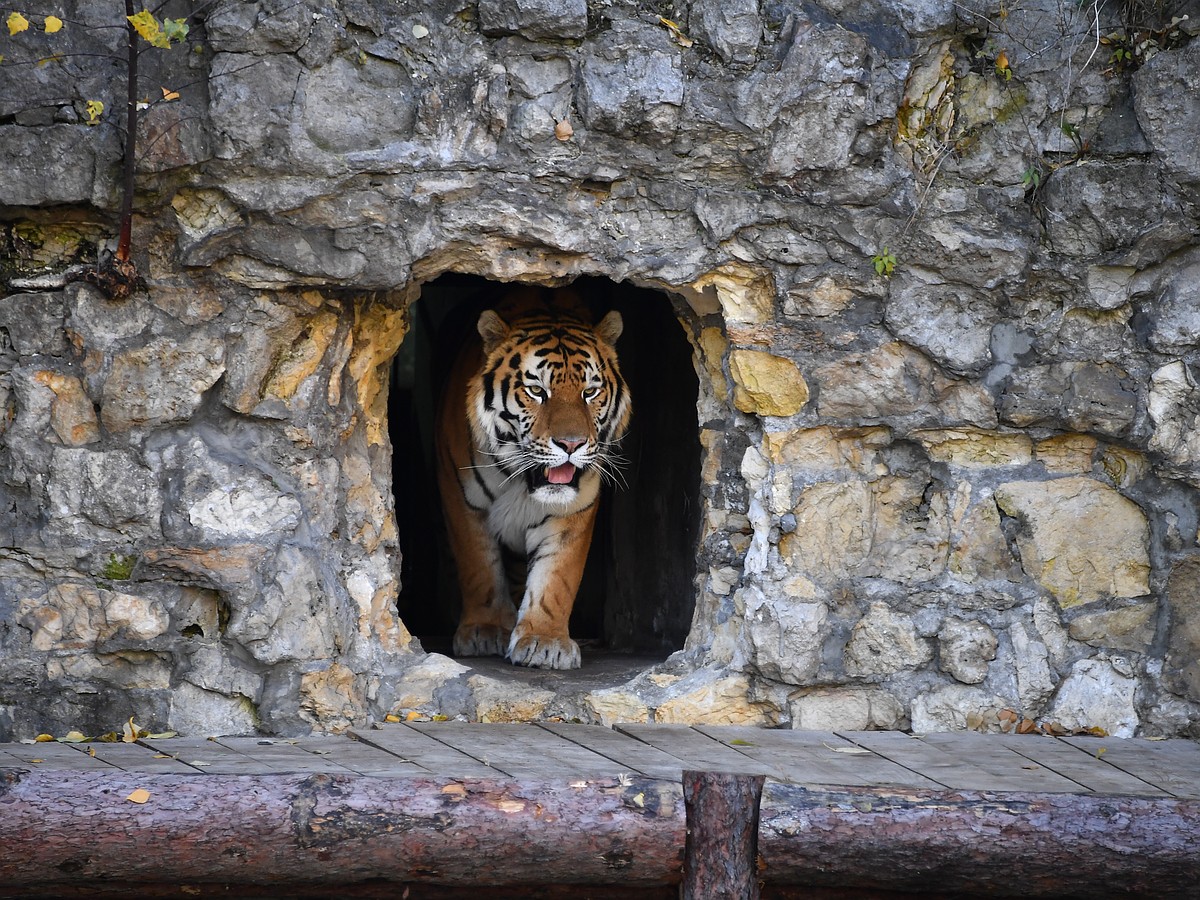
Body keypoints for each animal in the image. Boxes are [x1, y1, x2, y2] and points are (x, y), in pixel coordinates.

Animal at [436, 286, 633, 672]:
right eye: (537, 391)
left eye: (590, 392)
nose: (571, 444)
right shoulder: (462, 499)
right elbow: (478, 566)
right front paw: (484, 631)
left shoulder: (574, 507)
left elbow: (557, 577)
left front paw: (545, 642)